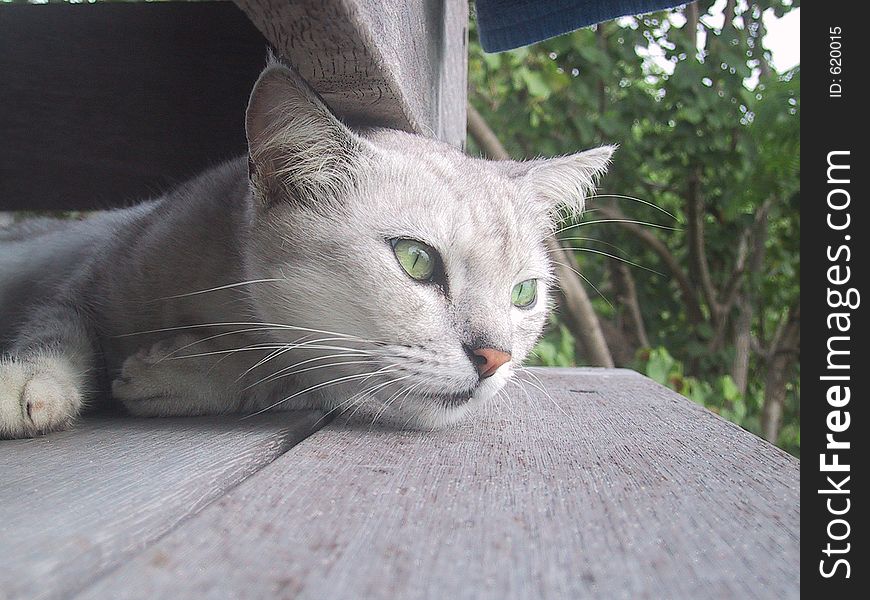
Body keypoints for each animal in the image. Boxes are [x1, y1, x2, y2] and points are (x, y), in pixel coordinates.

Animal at [0, 58, 612, 438]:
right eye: (416, 260)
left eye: (524, 294)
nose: (496, 358)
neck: (219, 305)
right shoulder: (90, 279)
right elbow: (56, 330)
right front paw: (28, 381)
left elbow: (291, 374)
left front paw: (181, 372)